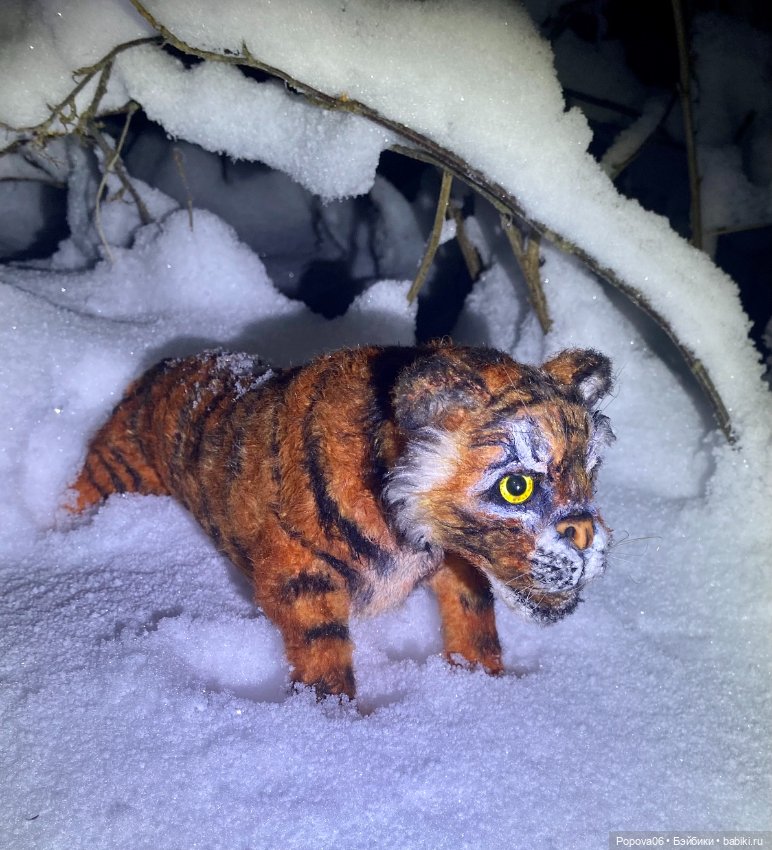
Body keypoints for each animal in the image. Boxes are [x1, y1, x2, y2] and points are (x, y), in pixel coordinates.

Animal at [70, 341, 614, 699]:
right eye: (516, 486)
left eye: (590, 472)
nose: (587, 537)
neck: (411, 535)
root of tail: (160, 366)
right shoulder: (300, 574)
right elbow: (323, 649)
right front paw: (334, 726)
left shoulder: (455, 561)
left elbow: (474, 617)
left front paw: (487, 689)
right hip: (115, 470)